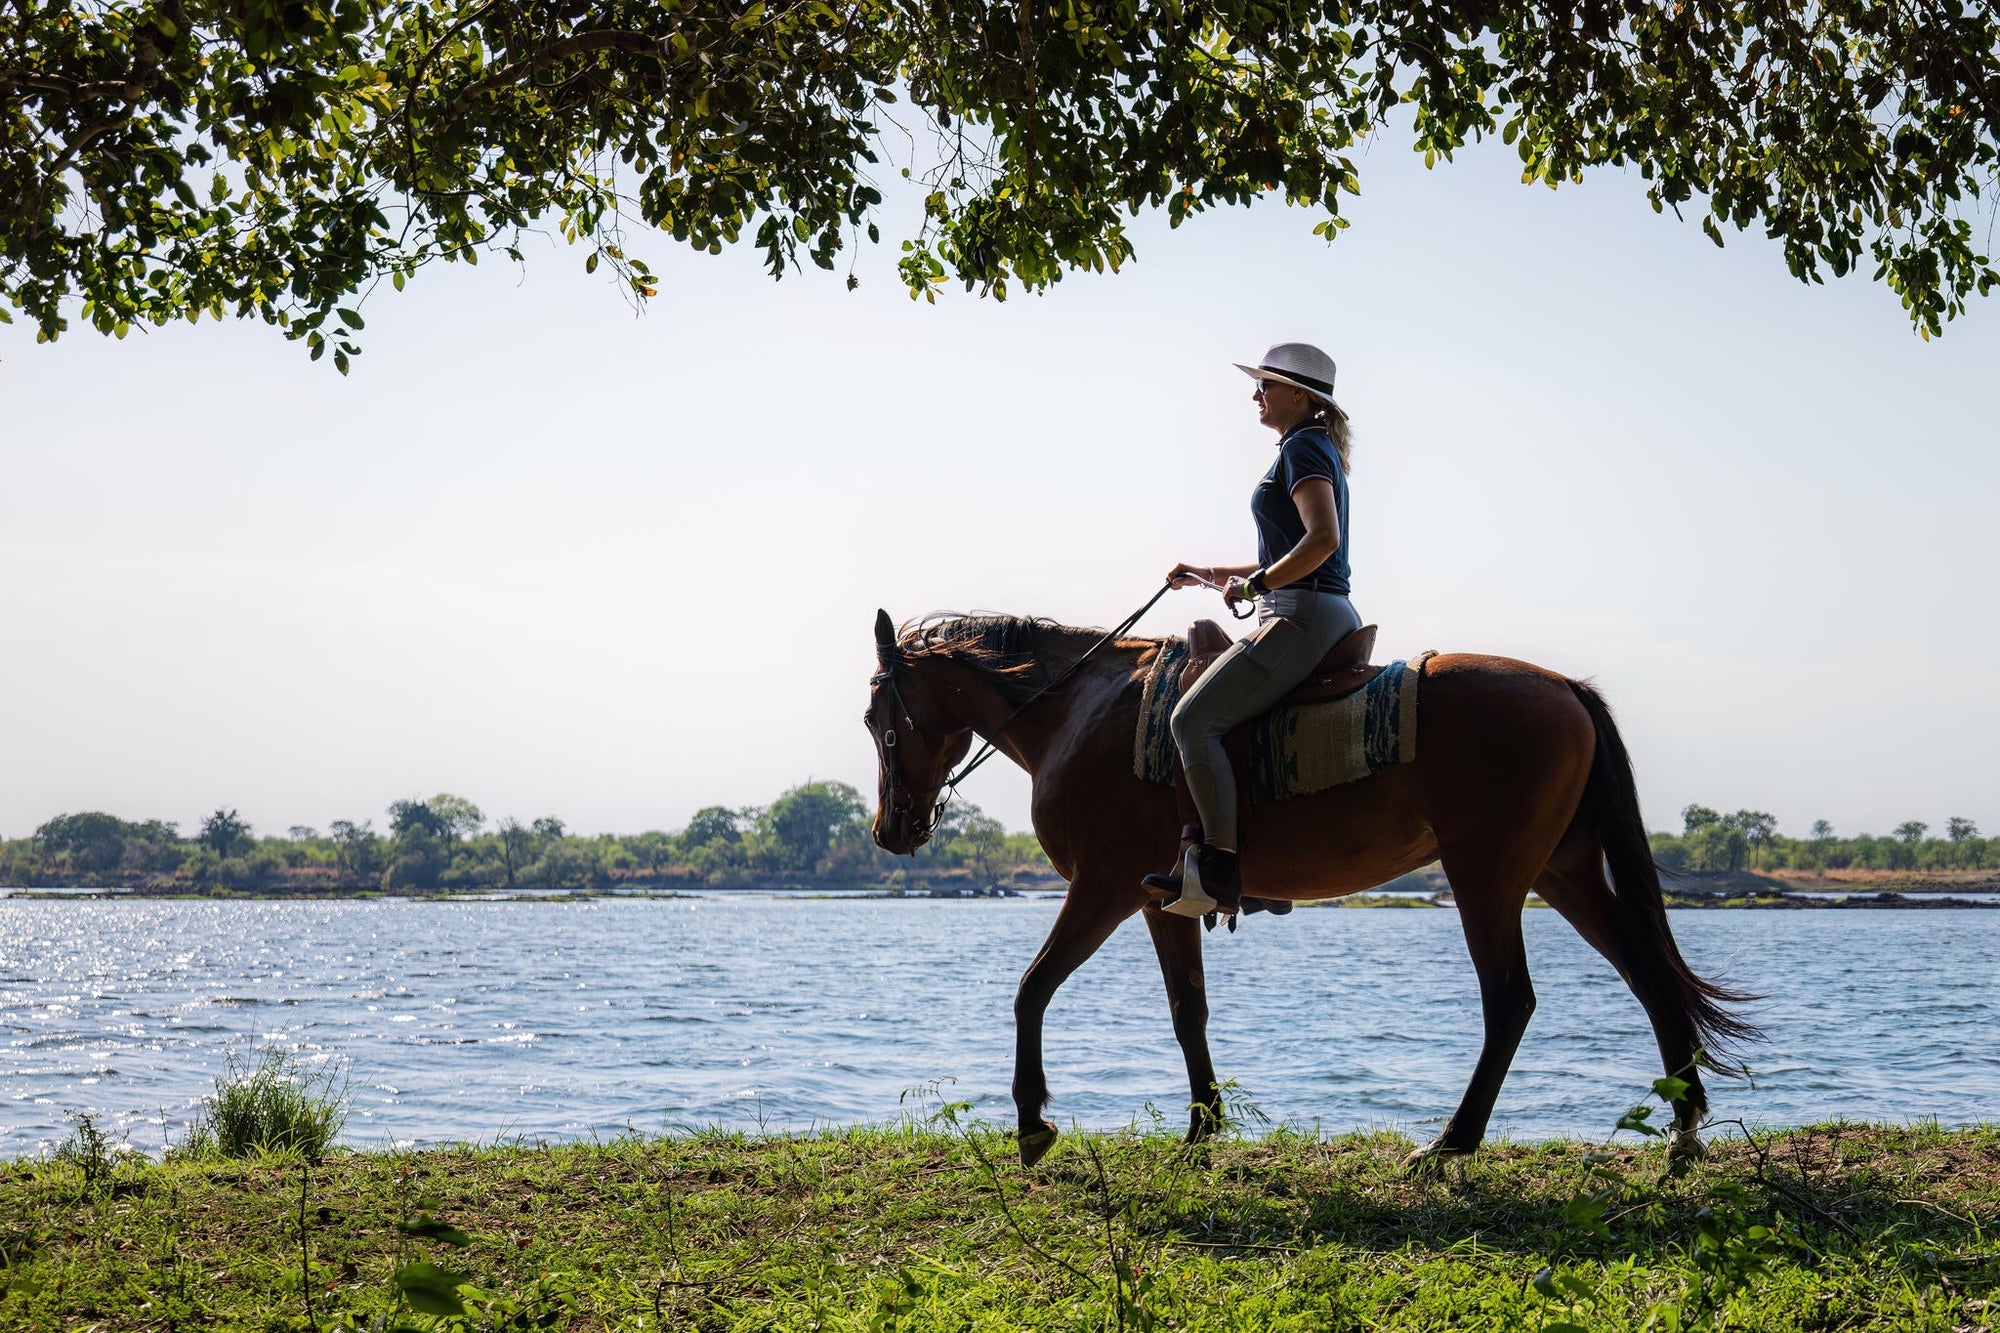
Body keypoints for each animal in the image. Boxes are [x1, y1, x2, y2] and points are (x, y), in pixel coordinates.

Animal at [862, 608, 1758, 1168]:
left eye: (878, 720)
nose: (890, 830)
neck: (1078, 710)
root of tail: (1565, 686)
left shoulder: (1104, 886)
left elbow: (1031, 986)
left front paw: (1031, 1122)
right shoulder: (1161, 898)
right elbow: (1187, 1010)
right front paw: (1201, 1133)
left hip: (1488, 874)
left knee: (1511, 998)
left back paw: (1452, 1142)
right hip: (1561, 870)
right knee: (1647, 974)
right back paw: (1682, 1132)